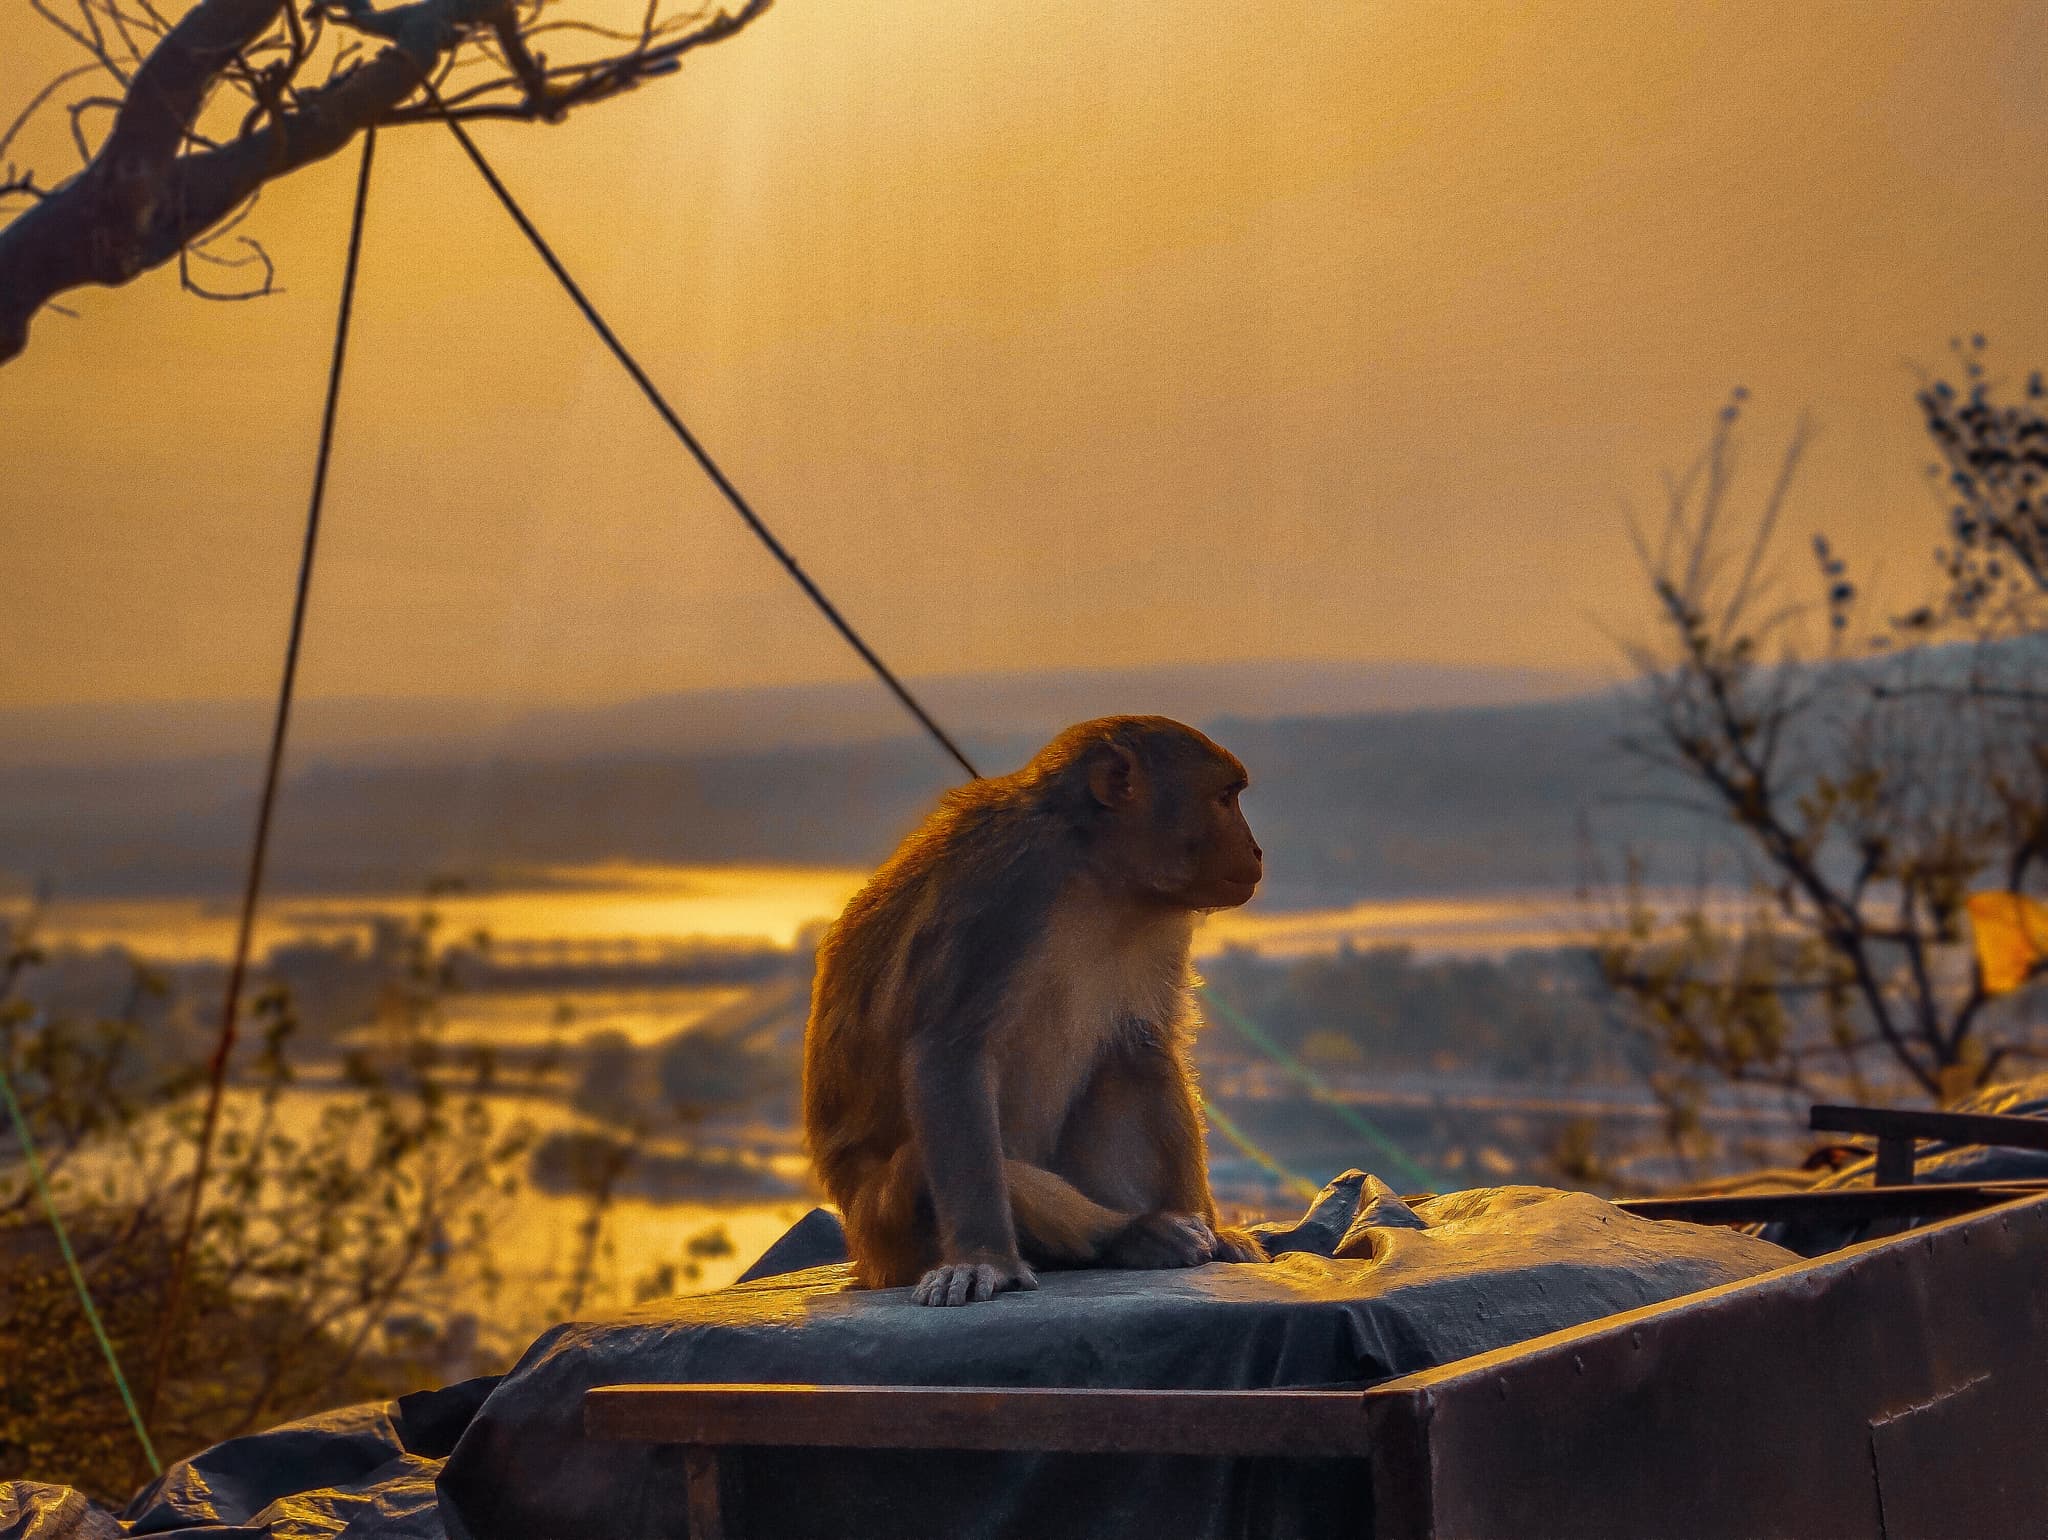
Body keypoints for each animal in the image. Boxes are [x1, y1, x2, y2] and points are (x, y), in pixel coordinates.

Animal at [802, 715, 1271, 1306]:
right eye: (1225, 798)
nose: (1256, 850)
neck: (1094, 871)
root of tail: (866, 1264)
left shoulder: (1164, 915)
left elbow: (1147, 1041)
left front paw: (1213, 1226)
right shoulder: (1003, 883)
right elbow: (949, 1053)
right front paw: (984, 1259)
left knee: (1126, 1061)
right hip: (886, 1237)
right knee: (917, 1171)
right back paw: (1128, 1234)